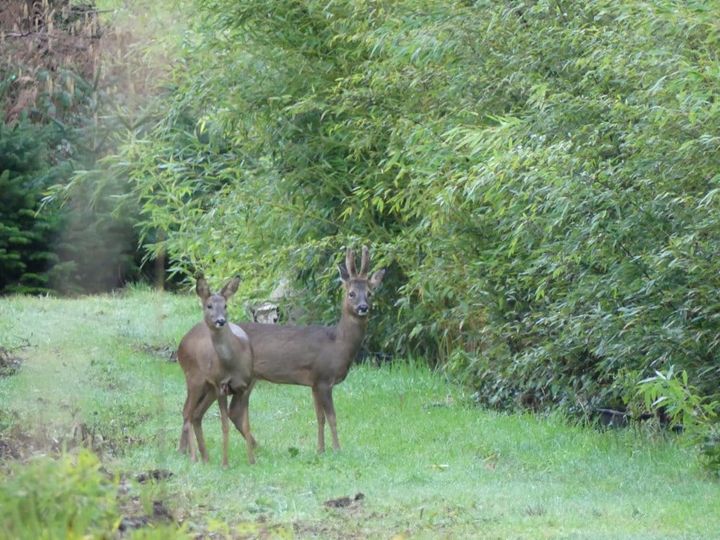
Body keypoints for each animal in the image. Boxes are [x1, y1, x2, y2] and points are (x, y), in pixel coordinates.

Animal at [176, 276, 256, 466]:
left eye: (225, 305)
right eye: (209, 306)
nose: (220, 320)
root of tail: (182, 341)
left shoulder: (245, 386)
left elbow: (246, 424)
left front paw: (252, 461)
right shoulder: (221, 386)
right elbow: (224, 425)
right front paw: (225, 463)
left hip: (208, 387)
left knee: (196, 414)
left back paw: (203, 456)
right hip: (193, 378)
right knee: (188, 412)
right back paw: (193, 456)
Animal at [242, 247, 386, 454]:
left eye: (370, 293)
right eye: (351, 293)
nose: (363, 307)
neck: (337, 344)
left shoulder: (314, 383)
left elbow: (320, 418)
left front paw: (320, 449)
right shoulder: (324, 378)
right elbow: (332, 417)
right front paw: (337, 449)